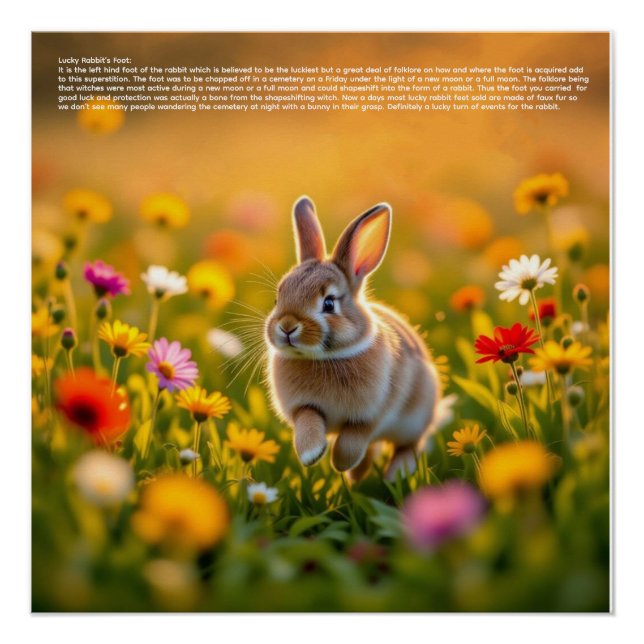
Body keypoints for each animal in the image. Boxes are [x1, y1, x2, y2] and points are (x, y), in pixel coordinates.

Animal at [265, 196, 440, 481]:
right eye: (277, 298)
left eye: (329, 303)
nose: (287, 326)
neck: (325, 357)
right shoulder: (304, 407)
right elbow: (308, 422)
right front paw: (312, 454)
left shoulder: (371, 416)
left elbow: (352, 440)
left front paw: (340, 463)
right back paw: (359, 476)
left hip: (416, 420)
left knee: (408, 447)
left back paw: (393, 476)